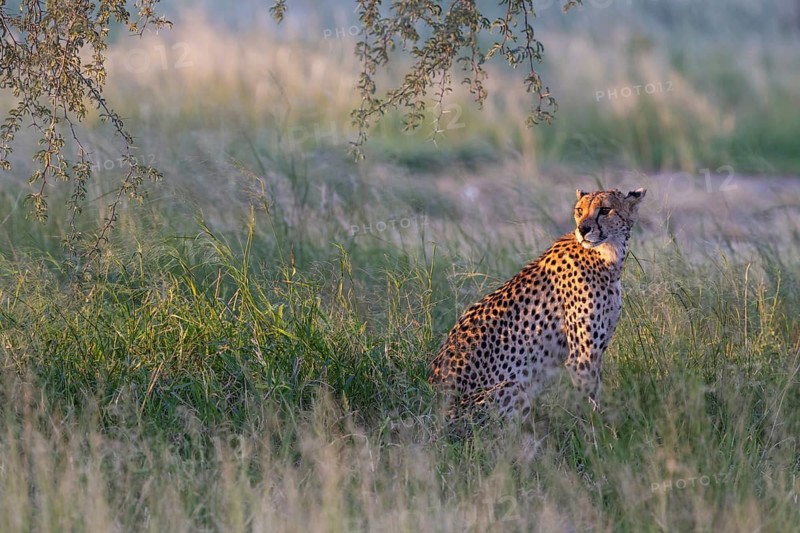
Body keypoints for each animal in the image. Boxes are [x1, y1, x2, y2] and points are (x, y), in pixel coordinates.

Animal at [429, 187, 647, 424]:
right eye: (580, 210)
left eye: (605, 210)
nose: (583, 229)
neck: (607, 256)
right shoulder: (582, 356)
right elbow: (588, 401)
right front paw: (593, 428)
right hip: (513, 389)